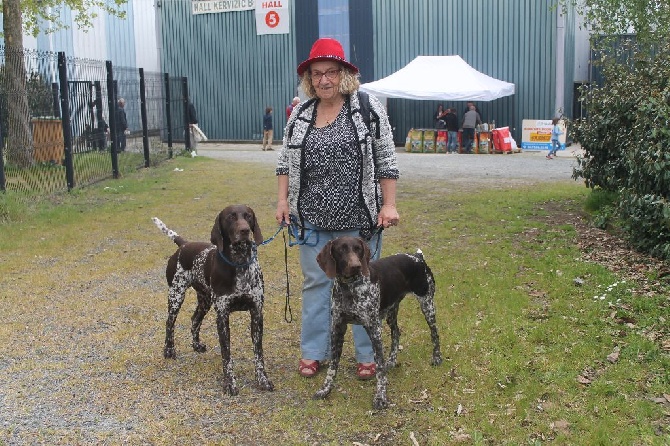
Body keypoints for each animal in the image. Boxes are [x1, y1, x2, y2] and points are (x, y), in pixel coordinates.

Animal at [154, 204, 274, 396]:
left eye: (248, 216)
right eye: (230, 217)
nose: (245, 230)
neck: (239, 262)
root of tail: (184, 244)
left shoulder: (256, 313)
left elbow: (258, 353)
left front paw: (262, 380)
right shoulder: (222, 317)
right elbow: (226, 355)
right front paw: (230, 383)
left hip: (205, 300)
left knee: (194, 319)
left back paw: (196, 345)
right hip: (176, 295)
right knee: (169, 323)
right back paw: (169, 350)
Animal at [316, 235, 444, 410]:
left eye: (358, 249)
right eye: (341, 249)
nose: (356, 266)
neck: (349, 287)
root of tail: (417, 257)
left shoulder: (374, 329)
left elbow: (379, 368)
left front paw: (381, 397)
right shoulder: (337, 329)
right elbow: (332, 367)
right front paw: (325, 389)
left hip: (427, 304)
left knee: (434, 333)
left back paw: (437, 358)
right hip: (391, 311)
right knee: (396, 332)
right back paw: (392, 360)